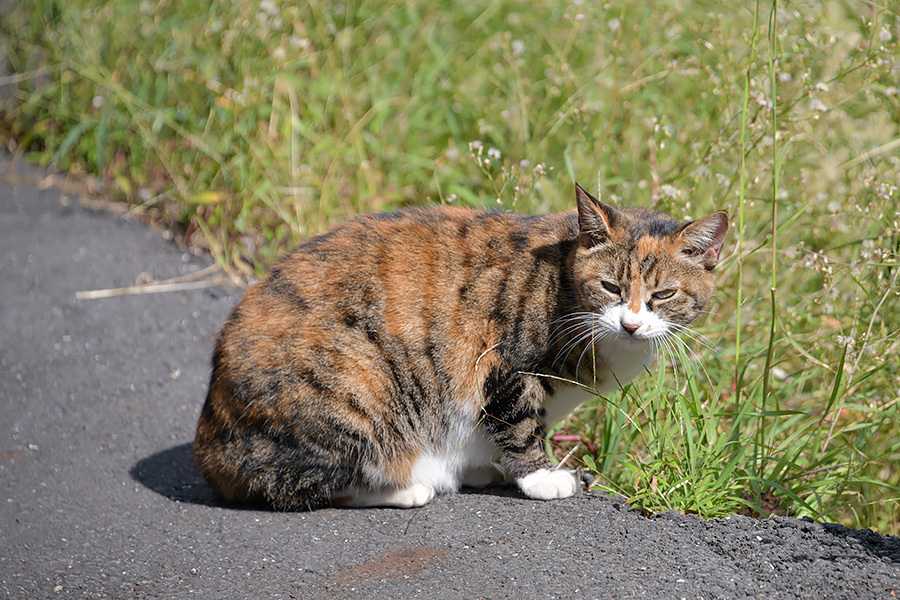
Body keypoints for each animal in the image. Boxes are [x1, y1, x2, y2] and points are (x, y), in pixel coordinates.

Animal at [193, 184, 728, 510]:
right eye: (611, 287)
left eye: (664, 295)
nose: (632, 323)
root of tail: (209, 444)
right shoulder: (501, 361)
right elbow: (519, 422)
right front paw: (541, 476)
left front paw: (487, 466)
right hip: (357, 380)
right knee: (302, 484)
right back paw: (410, 486)